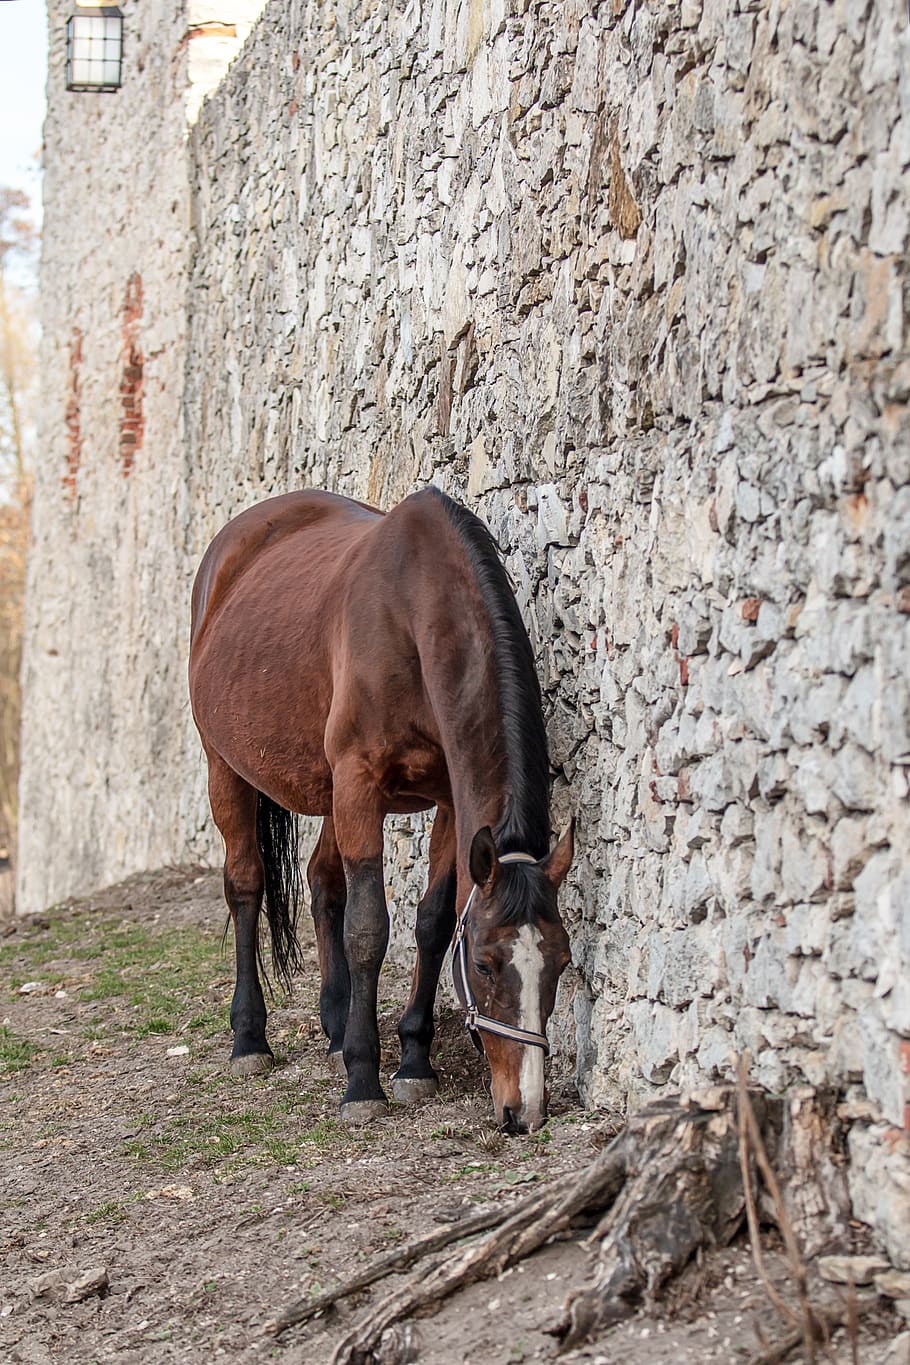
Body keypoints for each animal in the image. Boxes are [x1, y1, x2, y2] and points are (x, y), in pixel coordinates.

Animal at [188, 488, 573, 1130]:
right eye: (486, 965)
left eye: (561, 963)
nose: (525, 1109)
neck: (413, 617)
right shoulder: (359, 785)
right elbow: (367, 929)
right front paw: (364, 1080)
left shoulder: (448, 801)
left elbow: (434, 921)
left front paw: (413, 1059)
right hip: (228, 769)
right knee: (245, 885)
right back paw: (250, 1039)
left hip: (327, 791)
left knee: (322, 880)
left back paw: (336, 1026)